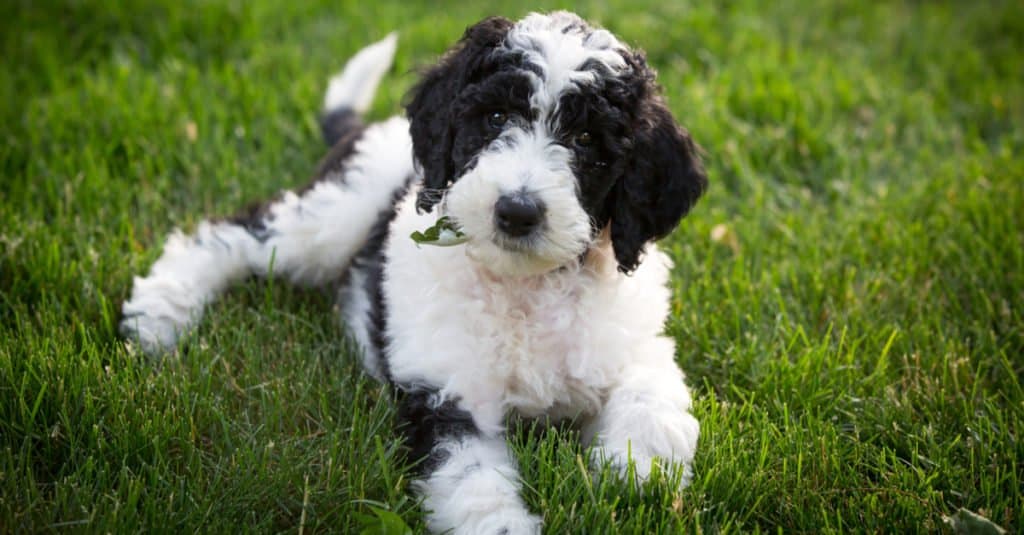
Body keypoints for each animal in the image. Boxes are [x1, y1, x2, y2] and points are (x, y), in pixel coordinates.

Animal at [121, 12, 704, 532]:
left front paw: (634, 473)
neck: (523, 284)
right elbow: (473, 485)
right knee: (231, 235)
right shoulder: (444, 399)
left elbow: (652, 395)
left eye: (586, 141)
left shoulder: (635, 341)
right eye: (495, 119)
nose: (516, 212)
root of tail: (370, 128)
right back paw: (158, 314)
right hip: (332, 214)